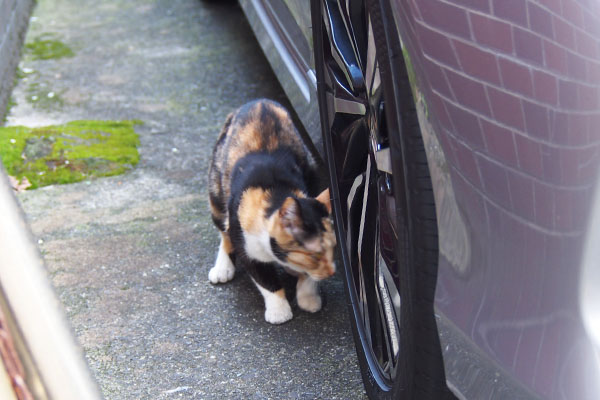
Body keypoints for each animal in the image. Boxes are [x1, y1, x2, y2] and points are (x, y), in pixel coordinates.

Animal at [209, 99, 336, 324]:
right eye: (315, 256)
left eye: (333, 250)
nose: (332, 273)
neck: (276, 192)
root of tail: (260, 101)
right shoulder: (245, 246)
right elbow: (265, 281)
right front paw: (279, 310)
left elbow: (306, 277)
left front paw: (308, 297)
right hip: (217, 191)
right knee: (224, 231)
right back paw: (223, 267)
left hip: (310, 166)